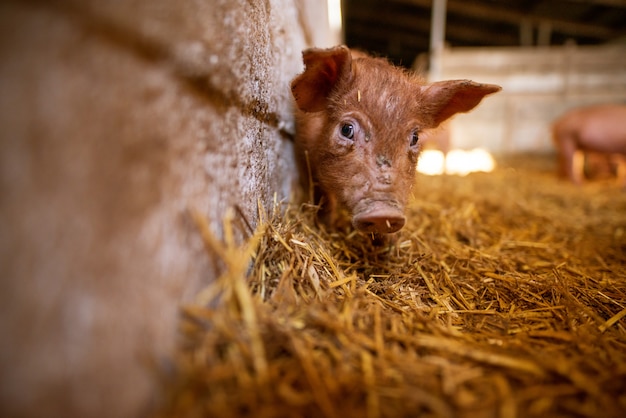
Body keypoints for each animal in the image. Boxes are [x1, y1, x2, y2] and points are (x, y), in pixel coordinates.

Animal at [290, 47, 500, 235]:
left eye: (415, 137)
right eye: (346, 129)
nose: (384, 214)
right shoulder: (307, 162)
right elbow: (323, 199)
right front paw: (325, 228)